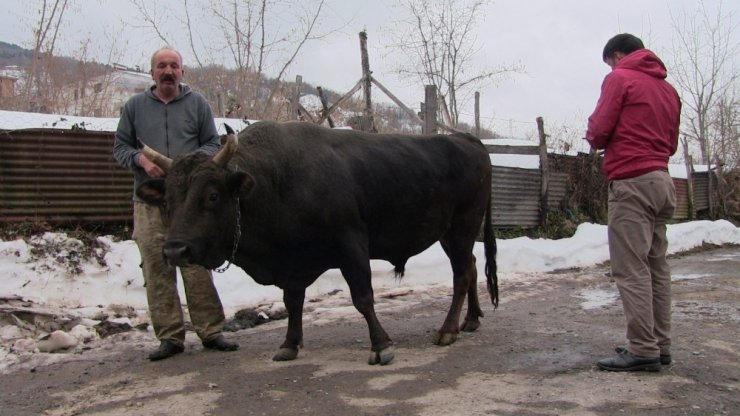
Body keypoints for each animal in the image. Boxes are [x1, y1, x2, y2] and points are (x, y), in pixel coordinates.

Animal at [137, 120, 500, 364]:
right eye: (167, 199)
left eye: (212, 195)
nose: (174, 250)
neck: (278, 180)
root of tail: (467, 139)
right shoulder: (294, 262)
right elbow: (293, 301)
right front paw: (289, 344)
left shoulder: (351, 246)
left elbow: (362, 298)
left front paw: (381, 346)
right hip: (450, 235)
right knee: (470, 267)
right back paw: (470, 320)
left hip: (462, 228)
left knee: (462, 275)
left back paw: (448, 330)